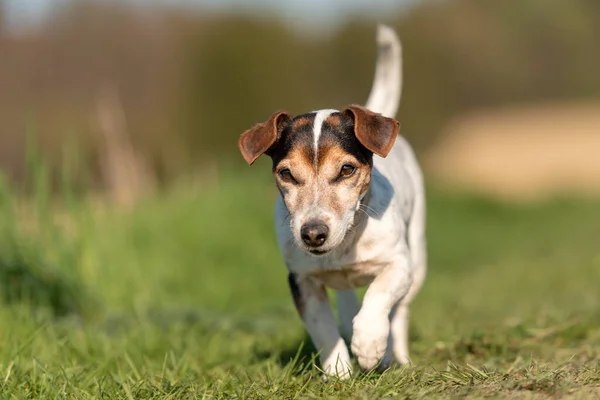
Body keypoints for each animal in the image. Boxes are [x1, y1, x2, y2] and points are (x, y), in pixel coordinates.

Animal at [239, 24, 426, 378]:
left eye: (346, 169)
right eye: (286, 174)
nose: (313, 234)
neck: (346, 244)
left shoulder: (399, 263)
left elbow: (379, 297)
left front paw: (369, 346)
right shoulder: (301, 281)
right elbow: (324, 329)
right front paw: (339, 372)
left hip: (418, 258)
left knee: (399, 312)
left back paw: (394, 355)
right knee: (350, 304)